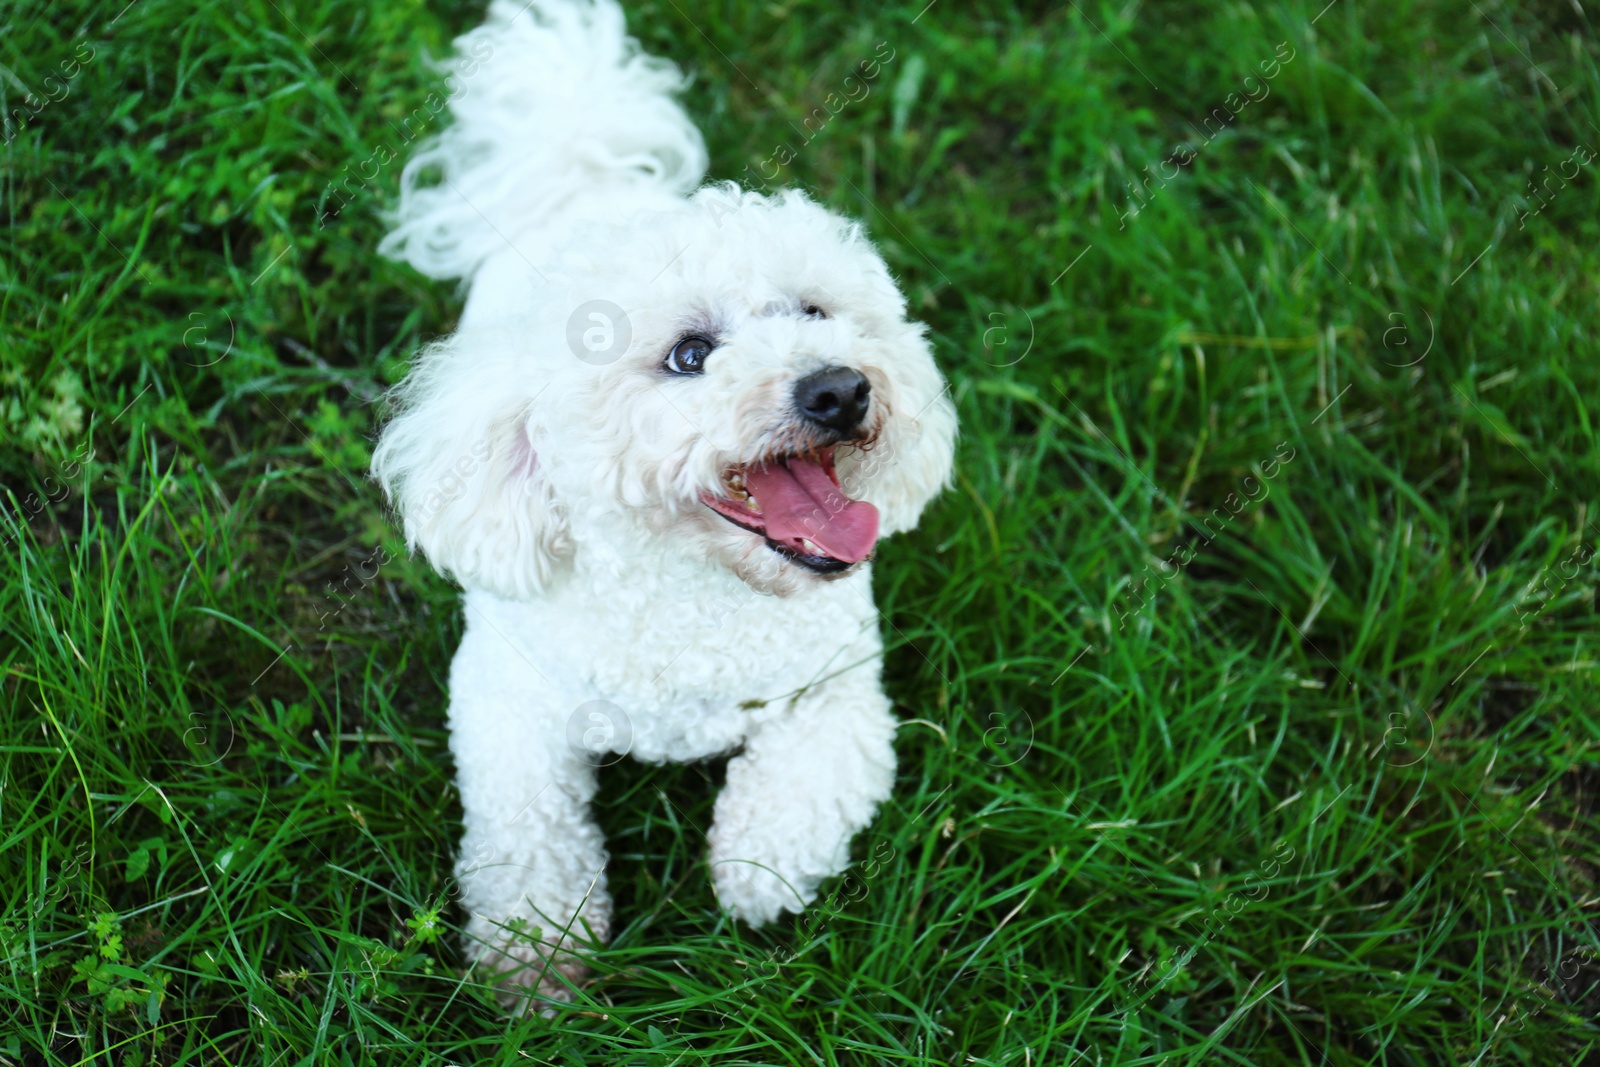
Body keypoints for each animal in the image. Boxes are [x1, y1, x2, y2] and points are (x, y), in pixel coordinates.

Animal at [371, 0, 947, 1011]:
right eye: (689, 355)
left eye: (814, 311)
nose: (840, 388)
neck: (694, 598)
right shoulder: (504, 700)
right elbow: (527, 833)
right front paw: (535, 955)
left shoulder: (841, 688)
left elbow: (806, 779)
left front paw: (756, 870)